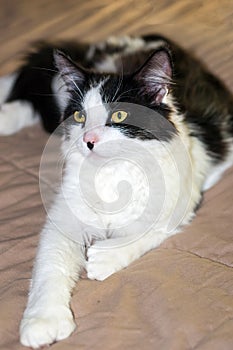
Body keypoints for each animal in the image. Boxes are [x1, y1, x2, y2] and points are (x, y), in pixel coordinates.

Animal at [0, 34, 233, 348]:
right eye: (80, 117)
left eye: (120, 115)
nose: (88, 140)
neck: (111, 175)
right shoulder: (64, 217)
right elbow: (50, 266)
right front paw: (43, 322)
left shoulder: (181, 199)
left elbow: (145, 233)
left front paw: (103, 258)